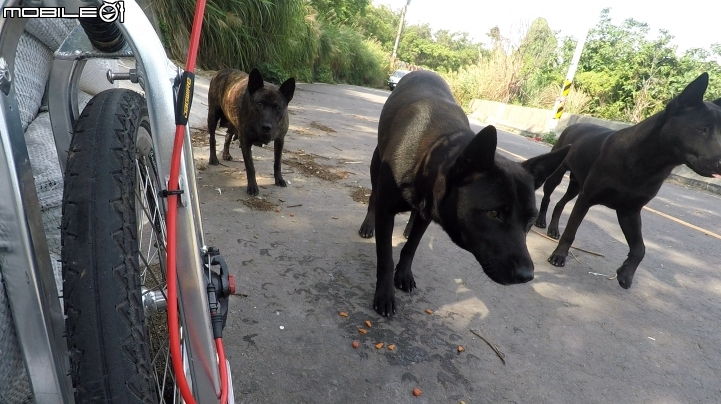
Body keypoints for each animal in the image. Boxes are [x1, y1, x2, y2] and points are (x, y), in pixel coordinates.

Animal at [207, 67, 296, 196]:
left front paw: (279, 179)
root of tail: (221, 71)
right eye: (259, 103)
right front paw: (253, 186)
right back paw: (213, 158)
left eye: (277, 108)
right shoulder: (245, 142)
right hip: (213, 116)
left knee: (227, 136)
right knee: (212, 139)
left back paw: (226, 154)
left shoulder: (280, 141)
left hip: (233, 123)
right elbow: (250, 167)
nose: (266, 127)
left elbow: (277, 162)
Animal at [358, 71, 572, 318]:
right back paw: (367, 225)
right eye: (493, 214)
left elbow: (411, 247)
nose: (526, 276)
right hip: (376, 165)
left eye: (530, 220)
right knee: (373, 197)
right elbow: (385, 257)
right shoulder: (387, 211)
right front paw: (384, 295)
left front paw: (403, 274)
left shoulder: (427, 212)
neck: (432, 153)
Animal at [536, 72, 720, 288]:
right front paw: (559, 255)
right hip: (557, 175)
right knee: (548, 197)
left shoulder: (629, 211)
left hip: (576, 185)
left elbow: (640, 248)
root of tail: (573, 125)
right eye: (702, 129)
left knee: (560, 203)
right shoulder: (587, 198)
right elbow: (571, 230)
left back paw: (553, 228)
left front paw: (626, 273)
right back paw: (541, 220)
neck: (646, 161)